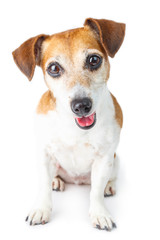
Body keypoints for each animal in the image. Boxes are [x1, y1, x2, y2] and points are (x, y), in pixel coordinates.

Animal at [12, 17, 125, 232]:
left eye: (94, 60)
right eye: (54, 68)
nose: (81, 106)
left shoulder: (104, 158)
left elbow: (96, 192)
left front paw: (100, 213)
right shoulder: (45, 154)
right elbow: (43, 186)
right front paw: (41, 209)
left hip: (115, 161)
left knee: (108, 179)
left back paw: (109, 186)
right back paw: (57, 181)